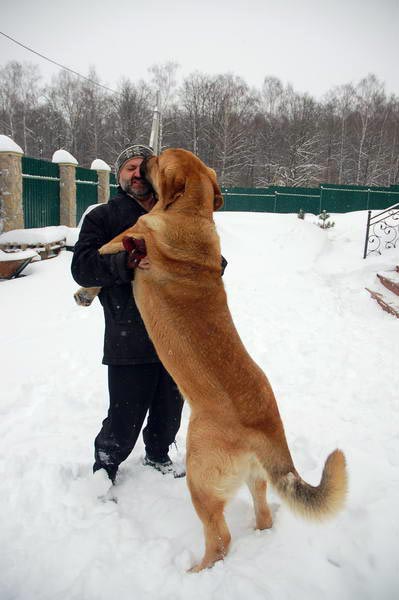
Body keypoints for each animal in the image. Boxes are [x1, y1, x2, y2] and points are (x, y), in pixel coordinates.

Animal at [80, 149, 346, 572]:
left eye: (157, 162)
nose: (144, 159)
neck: (192, 213)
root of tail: (267, 427)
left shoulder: (128, 237)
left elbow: (101, 254)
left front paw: (85, 290)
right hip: (254, 478)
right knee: (263, 514)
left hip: (201, 480)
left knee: (220, 538)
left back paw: (195, 572)